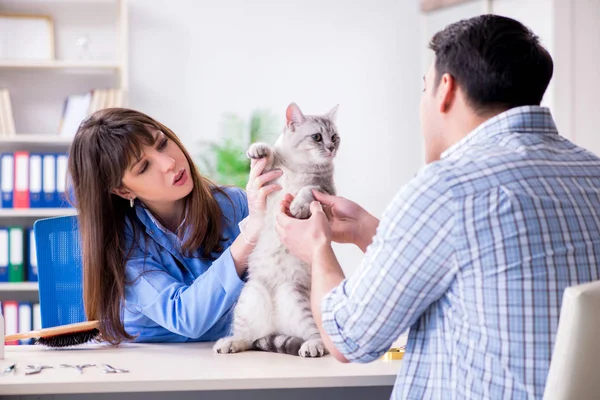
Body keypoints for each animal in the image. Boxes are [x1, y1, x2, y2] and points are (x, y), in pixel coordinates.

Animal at [213, 101, 340, 358]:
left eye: (334, 137)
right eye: (317, 137)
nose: (331, 147)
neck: (299, 165)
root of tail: (275, 326)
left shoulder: (326, 192)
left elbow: (308, 190)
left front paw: (298, 205)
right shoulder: (268, 175)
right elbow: (270, 153)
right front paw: (258, 149)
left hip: (294, 297)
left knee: (317, 336)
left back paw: (312, 346)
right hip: (249, 295)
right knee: (246, 338)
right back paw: (230, 342)